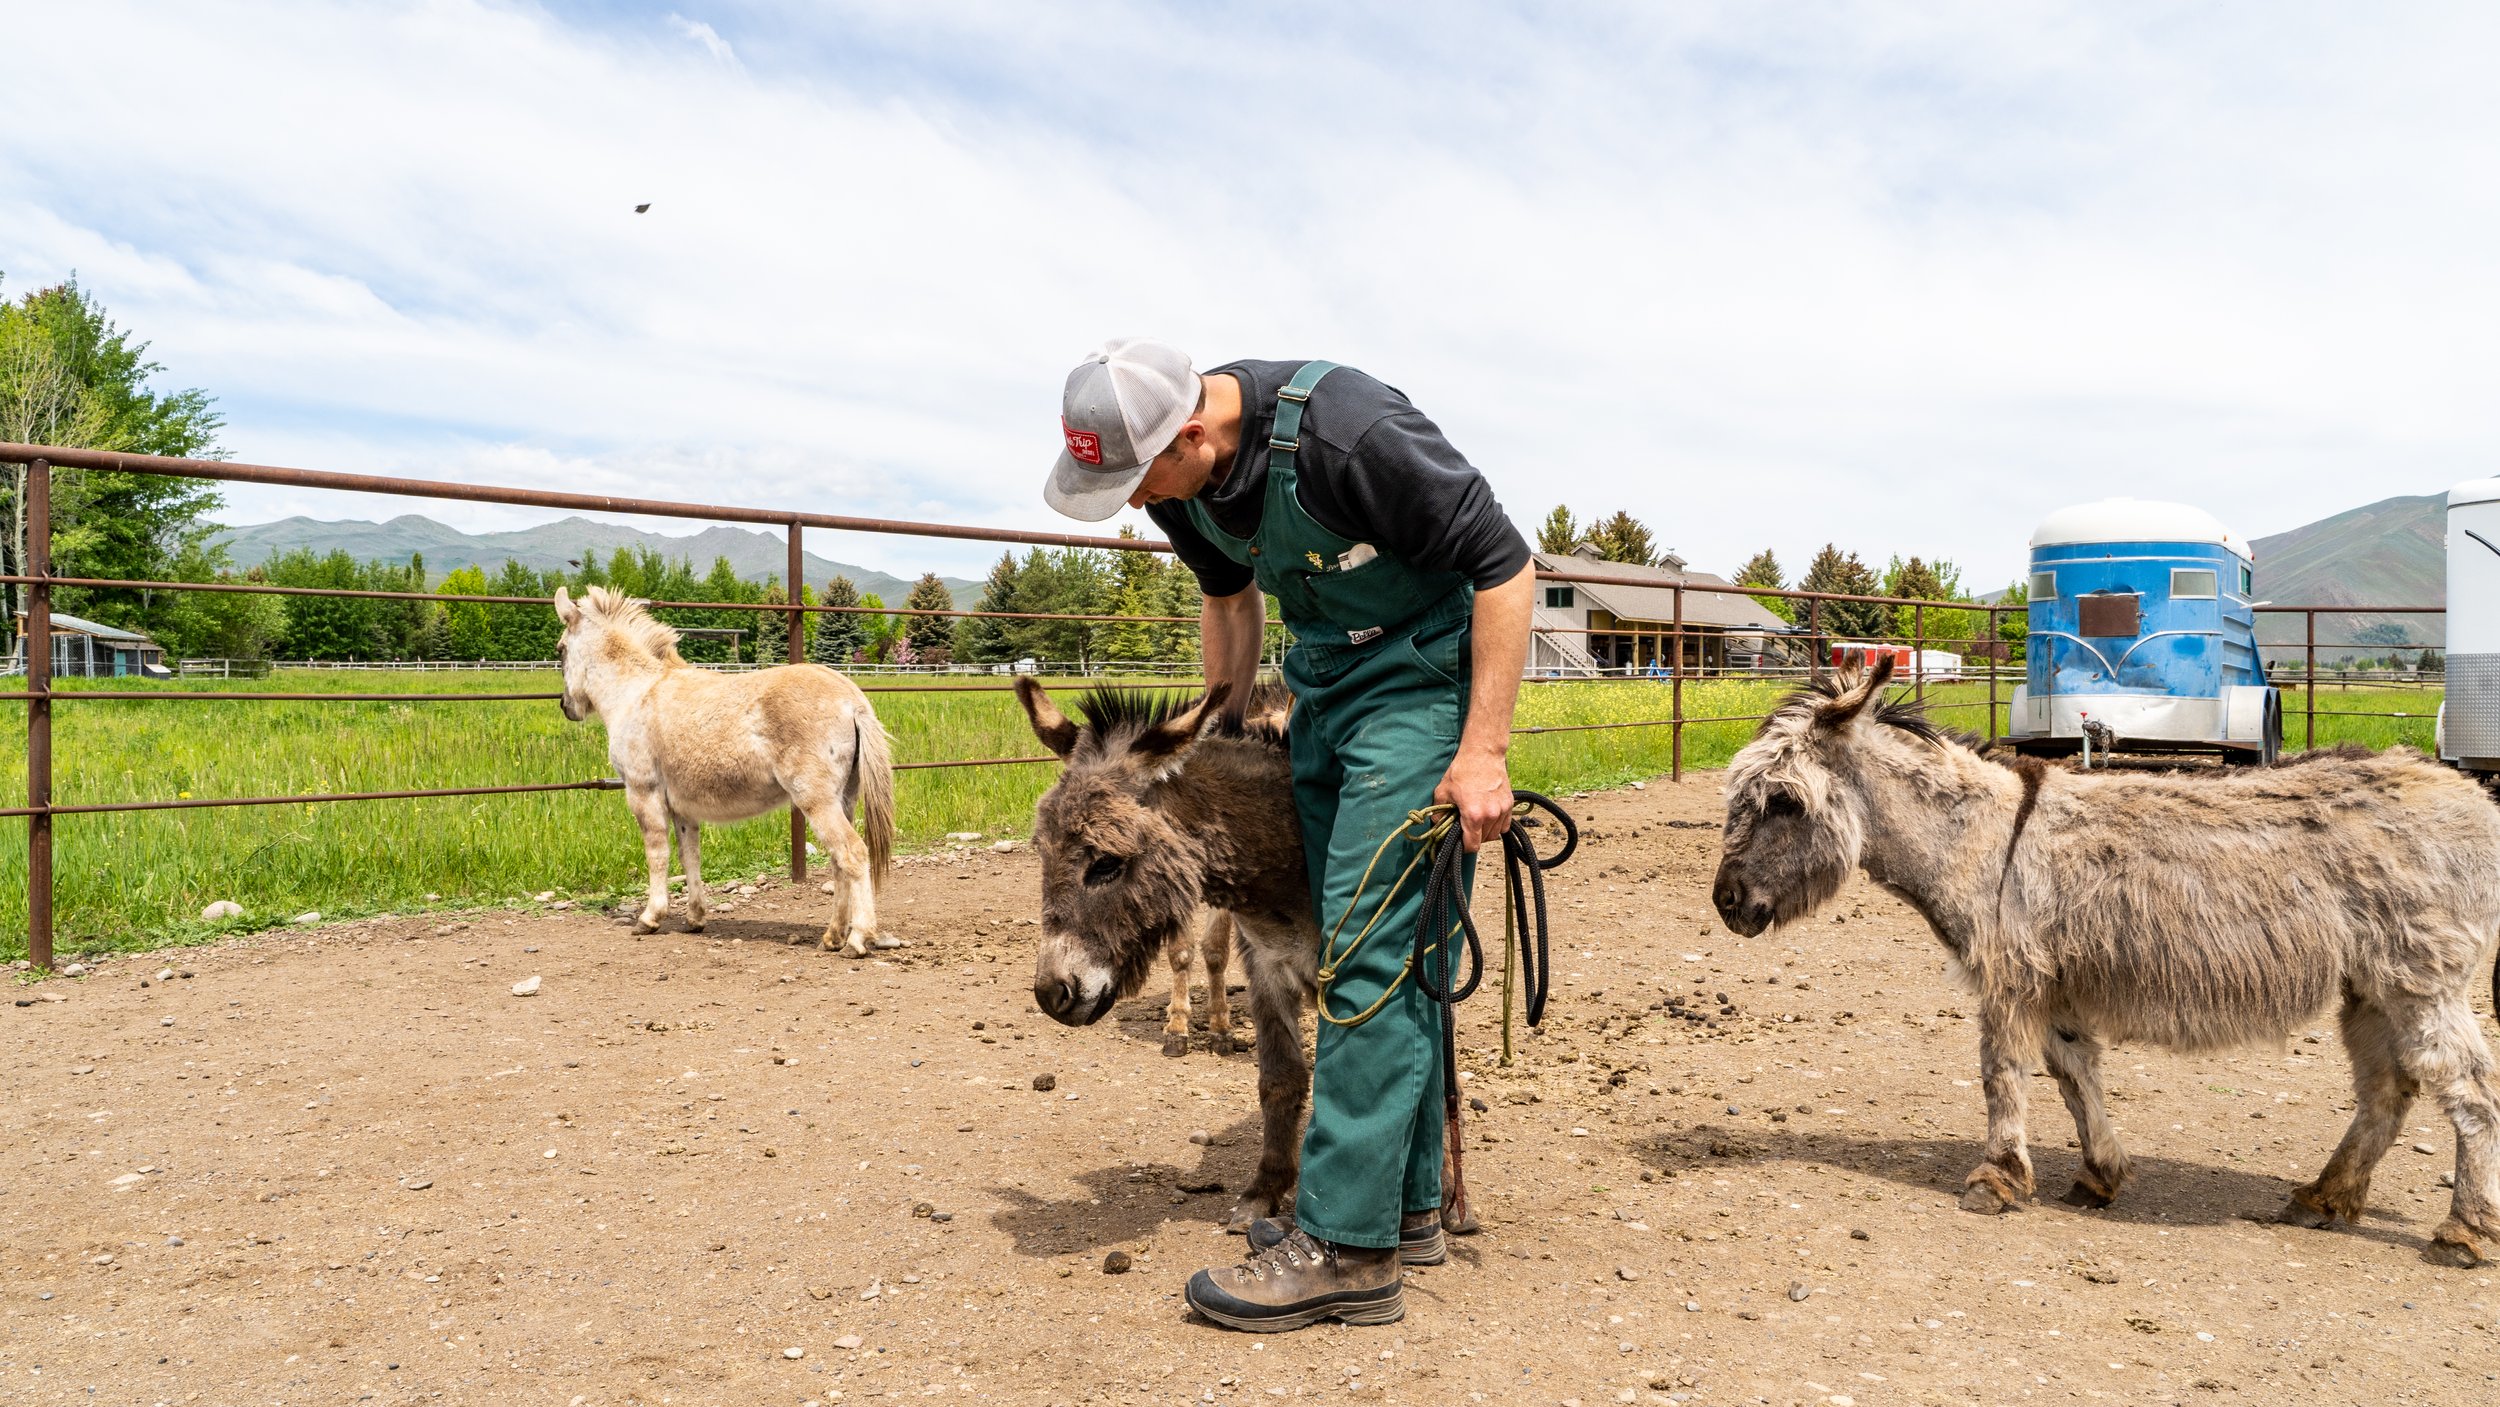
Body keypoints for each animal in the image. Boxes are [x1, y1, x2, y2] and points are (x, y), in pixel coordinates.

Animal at [552, 586, 894, 955]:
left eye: (560, 650)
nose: (566, 707)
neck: (636, 692)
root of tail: (852, 699)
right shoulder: (683, 808)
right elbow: (690, 857)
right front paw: (695, 918)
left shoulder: (643, 793)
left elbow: (657, 854)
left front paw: (650, 918)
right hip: (844, 799)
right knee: (837, 862)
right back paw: (832, 936)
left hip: (816, 800)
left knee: (853, 854)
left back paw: (858, 939)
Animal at [1711, 655, 2500, 1268]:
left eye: (1783, 803)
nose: (1726, 902)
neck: (1981, 838)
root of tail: (2469, 795)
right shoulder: (2054, 985)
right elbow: (2073, 1072)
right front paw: (2100, 1174)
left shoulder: (2011, 977)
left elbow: (2002, 1074)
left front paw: (1996, 1180)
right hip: (2368, 986)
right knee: (2388, 1090)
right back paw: (2324, 1198)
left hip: (2420, 980)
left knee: (2470, 1087)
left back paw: (2462, 1233)